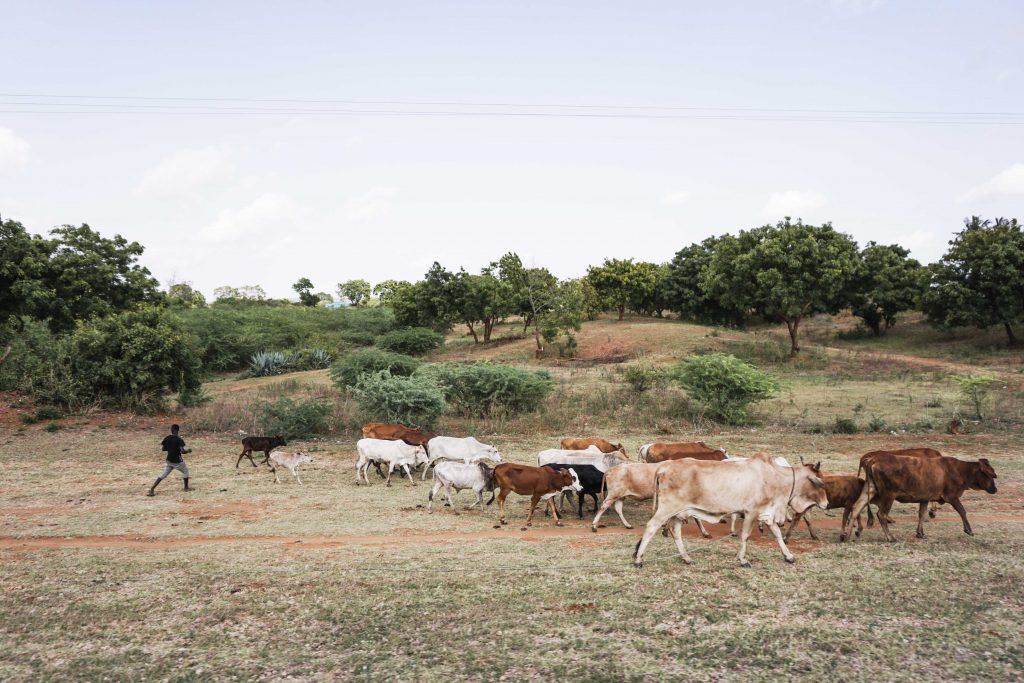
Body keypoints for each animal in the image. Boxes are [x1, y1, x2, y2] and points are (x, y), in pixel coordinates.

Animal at [634, 450, 827, 569]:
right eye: (819, 482)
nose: (826, 503)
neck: (776, 477)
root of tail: (663, 467)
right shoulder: (752, 512)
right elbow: (745, 536)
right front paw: (743, 560)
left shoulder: (767, 513)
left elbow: (778, 534)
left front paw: (789, 556)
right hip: (667, 508)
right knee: (651, 527)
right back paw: (638, 559)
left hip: (678, 512)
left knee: (675, 532)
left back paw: (686, 558)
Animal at [843, 454, 995, 544]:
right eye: (989, 475)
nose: (995, 489)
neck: (959, 470)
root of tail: (874, 459)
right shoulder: (952, 496)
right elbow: (962, 511)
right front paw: (968, 530)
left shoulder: (925, 498)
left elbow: (922, 515)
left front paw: (920, 533)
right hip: (889, 495)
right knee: (881, 514)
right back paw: (890, 537)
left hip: (870, 489)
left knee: (856, 508)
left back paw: (846, 535)